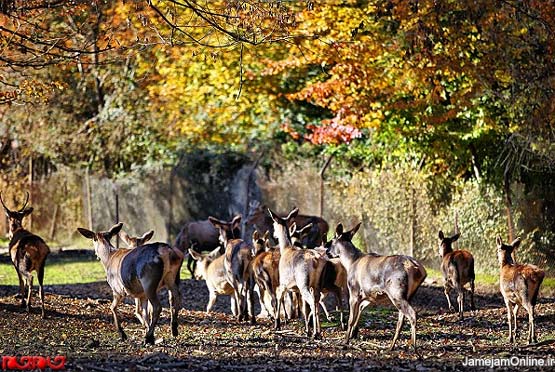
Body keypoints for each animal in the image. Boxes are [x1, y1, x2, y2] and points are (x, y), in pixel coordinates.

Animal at [268, 208, 328, 338]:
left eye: (273, 224)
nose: (274, 235)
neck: (286, 249)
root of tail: (316, 260)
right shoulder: (296, 289)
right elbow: (303, 308)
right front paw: (306, 329)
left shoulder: (283, 282)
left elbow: (279, 296)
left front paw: (277, 325)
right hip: (316, 284)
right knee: (316, 302)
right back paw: (318, 332)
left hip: (303, 282)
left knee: (312, 302)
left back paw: (315, 333)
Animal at [328, 224, 428, 352]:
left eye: (332, 241)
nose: (327, 252)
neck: (350, 263)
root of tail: (419, 270)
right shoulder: (369, 296)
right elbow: (360, 310)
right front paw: (354, 334)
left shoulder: (354, 291)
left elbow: (350, 319)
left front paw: (345, 342)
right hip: (408, 295)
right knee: (401, 320)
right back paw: (391, 346)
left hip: (396, 292)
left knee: (412, 314)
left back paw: (413, 347)